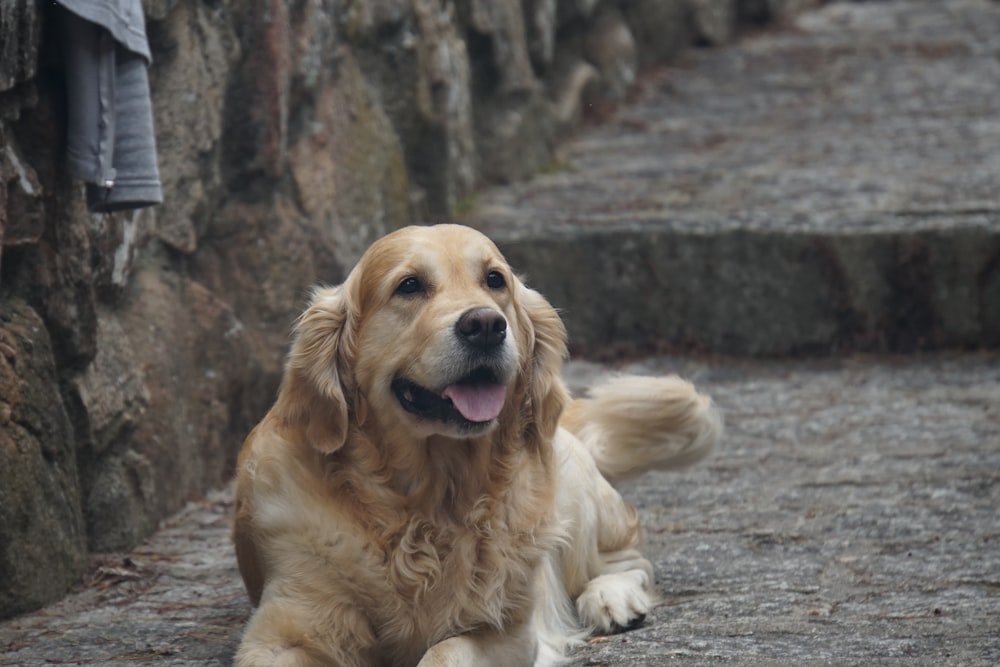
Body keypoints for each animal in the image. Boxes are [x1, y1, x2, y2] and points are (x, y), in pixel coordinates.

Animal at [231, 226, 724, 667]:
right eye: (409, 285)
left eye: (494, 280)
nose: (486, 324)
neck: (426, 505)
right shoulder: (285, 629)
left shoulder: (506, 632)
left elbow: (443, 652)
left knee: (628, 559)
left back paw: (611, 597)